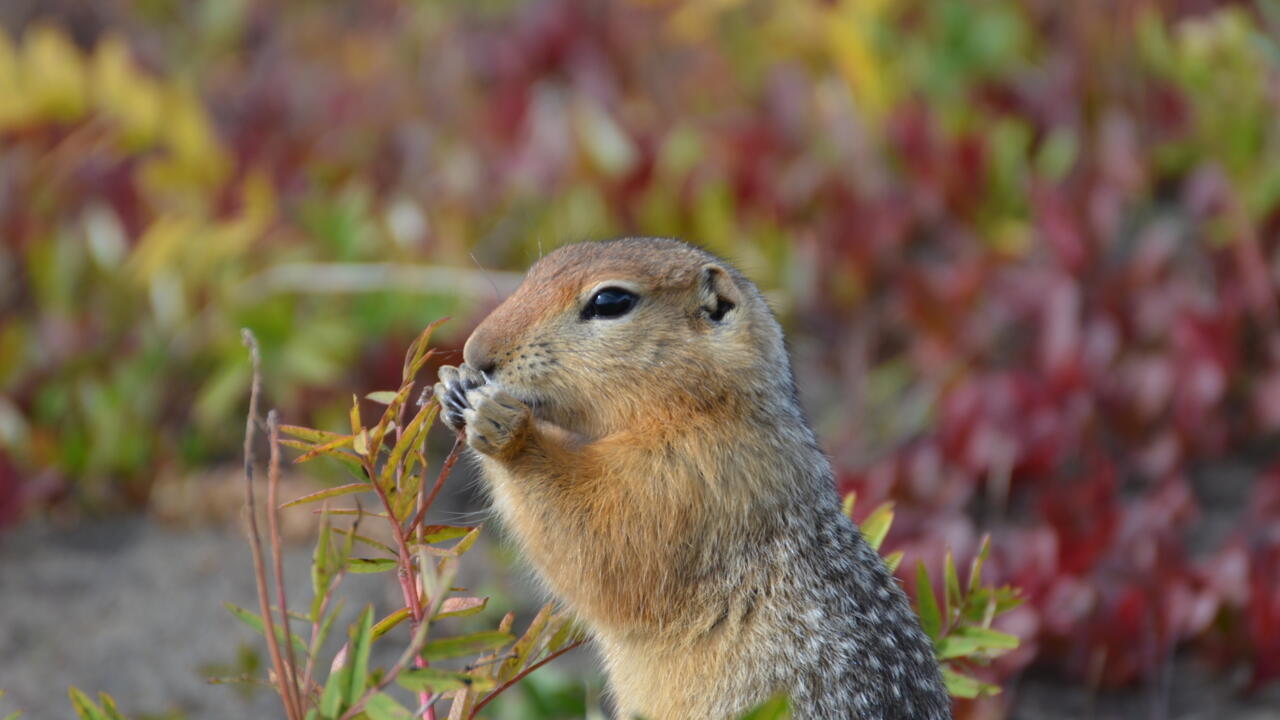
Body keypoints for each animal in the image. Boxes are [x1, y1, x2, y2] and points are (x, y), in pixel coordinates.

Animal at [434, 238, 950, 720]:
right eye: (539, 268)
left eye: (610, 301)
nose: (475, 353)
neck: (707, 408)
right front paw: (451, 386)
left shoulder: (694, 475)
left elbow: (603, 540)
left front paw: (503, 425)